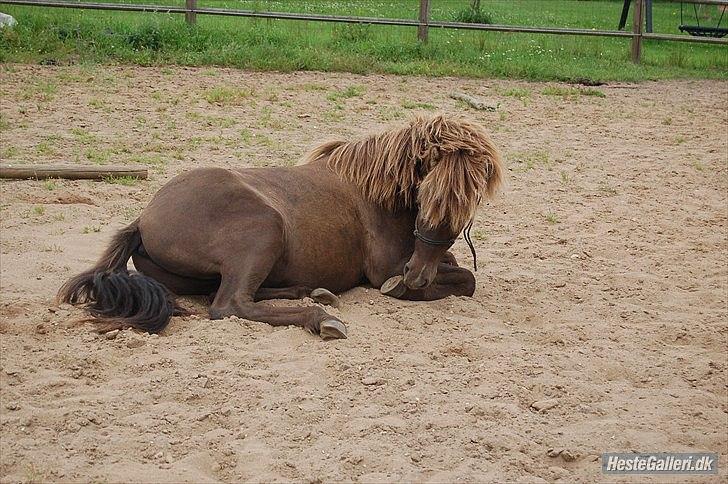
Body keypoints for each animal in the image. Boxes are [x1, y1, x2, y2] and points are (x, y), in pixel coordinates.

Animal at [58, 114, 500, 340]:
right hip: (264, 231)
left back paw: (313, 292)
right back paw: (320, 317)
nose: (417, 277)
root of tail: (143, 219)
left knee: (233, 295)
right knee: (230, 305)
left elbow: (460, 271)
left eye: (469, 205)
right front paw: (406, 289)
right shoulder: (386, 269)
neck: (377, 191)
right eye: (429, 193)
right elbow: (465, 280)